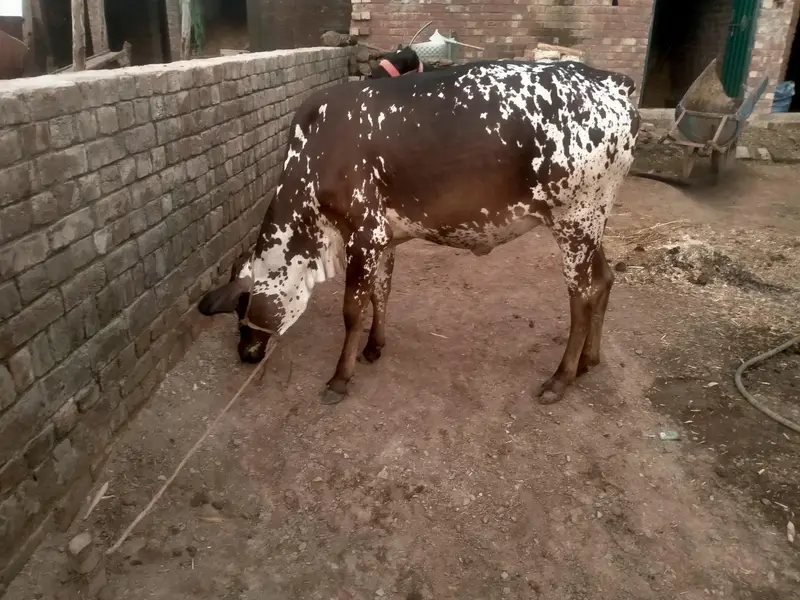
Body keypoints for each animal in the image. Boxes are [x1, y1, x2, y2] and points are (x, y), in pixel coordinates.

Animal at [198, 59, 641, 406]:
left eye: (240, 313)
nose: (245, 353)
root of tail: (611, 81)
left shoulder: (364, 235)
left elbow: (352, 310)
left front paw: (340, 378)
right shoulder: (383, 239)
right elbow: (381, 292)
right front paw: (373, 346)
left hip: (575, 221)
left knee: (582, 295)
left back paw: (560, 377)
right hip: (593, 223)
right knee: (604, 280)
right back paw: (588, 361)